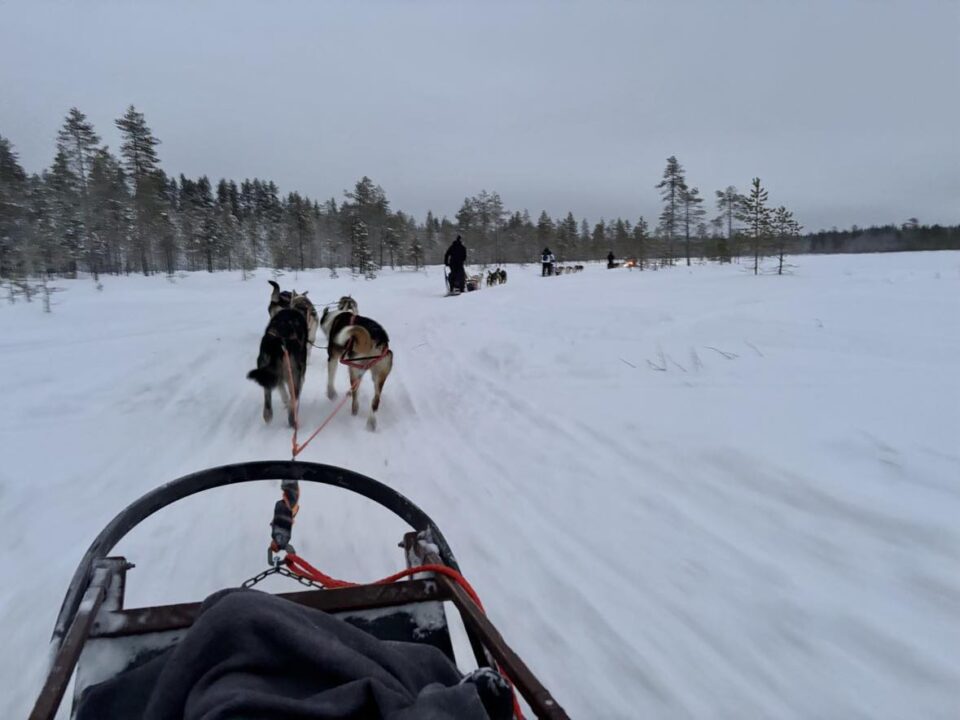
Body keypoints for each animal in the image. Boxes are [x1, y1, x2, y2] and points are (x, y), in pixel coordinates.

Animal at [320, 296, 392, 430]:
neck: (336, 317)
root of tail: (377, 337)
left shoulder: (333, 358)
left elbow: (331, 378)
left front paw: (331, 393)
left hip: (354, 368)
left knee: (356, 395)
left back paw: (354, 409)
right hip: (378, 374)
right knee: (375, 401)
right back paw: (371, 422)